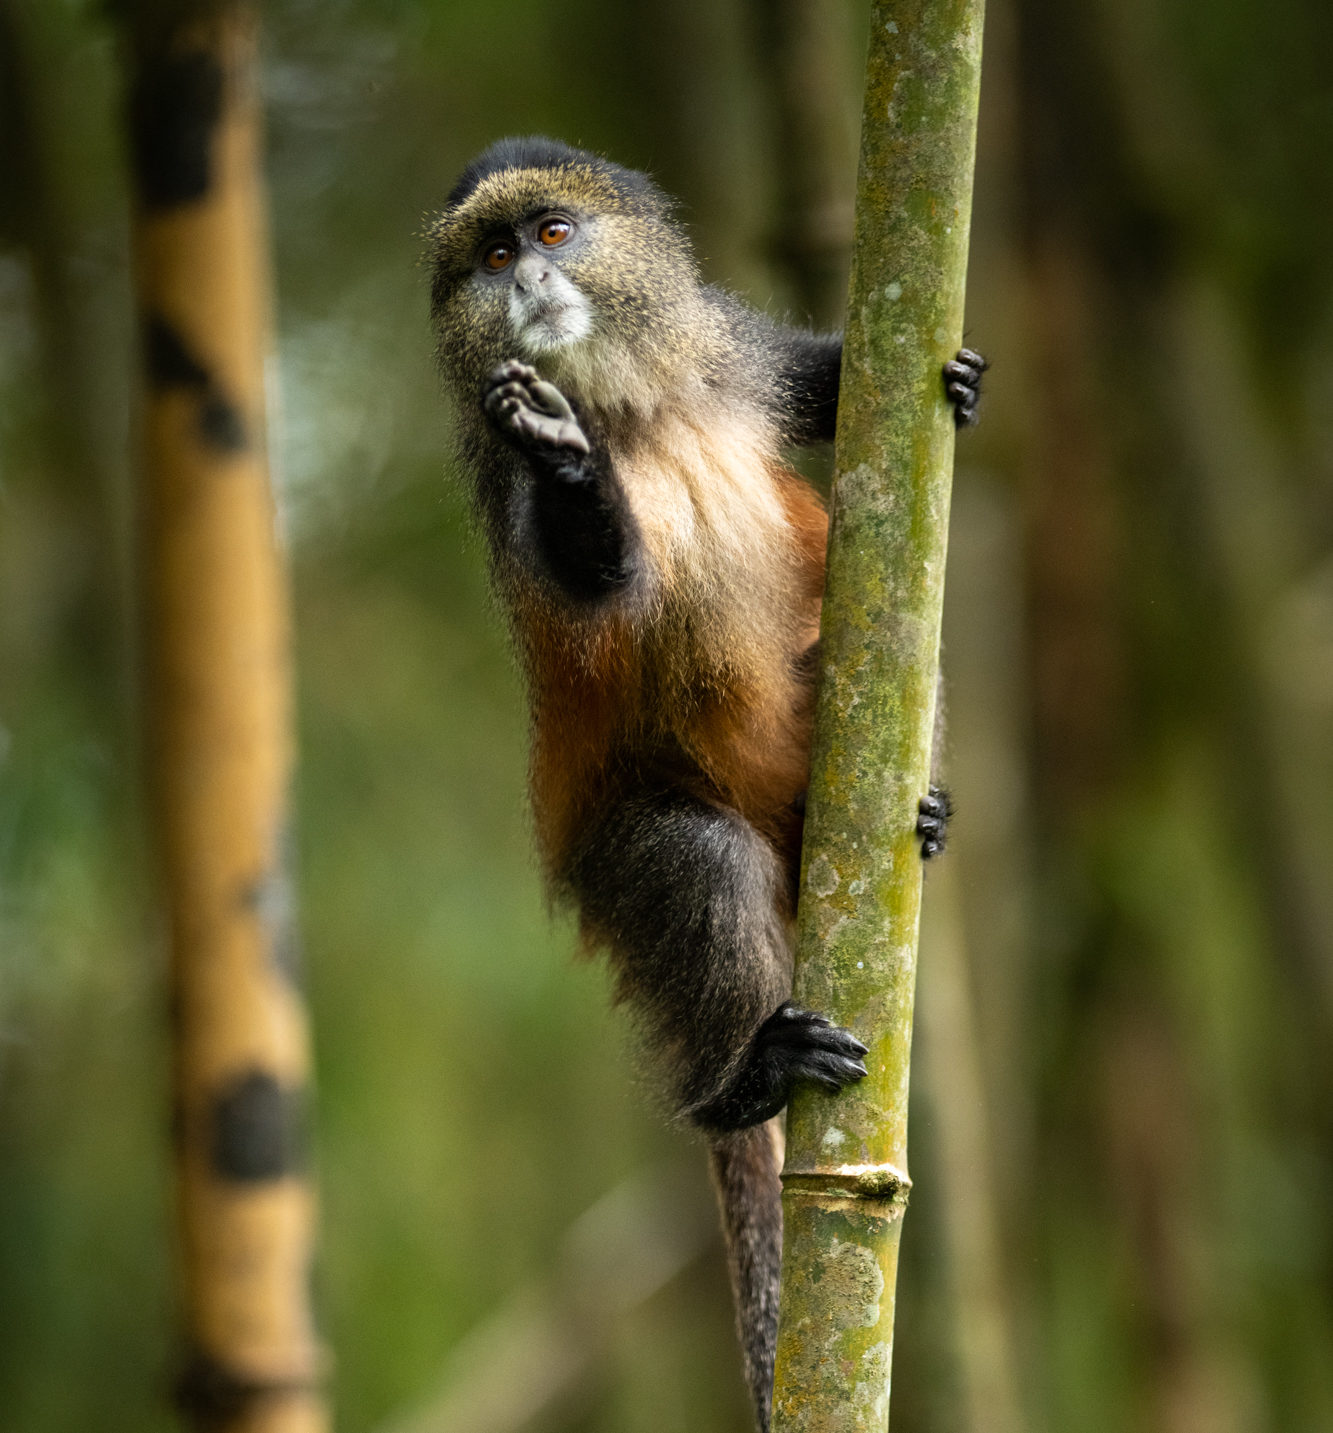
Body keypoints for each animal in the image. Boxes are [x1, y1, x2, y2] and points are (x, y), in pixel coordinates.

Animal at [427, 136, 984, 1433]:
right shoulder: (515, 509)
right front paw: (565, 455)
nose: (532, 285)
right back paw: (742, 1084)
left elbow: (823, 380)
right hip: (629, 852)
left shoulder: (724, 350)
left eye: (553, 235)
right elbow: (595, 578)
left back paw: (920, 813)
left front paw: (957, 374)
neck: (636, 407)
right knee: (698, 858)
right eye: (490, 258)